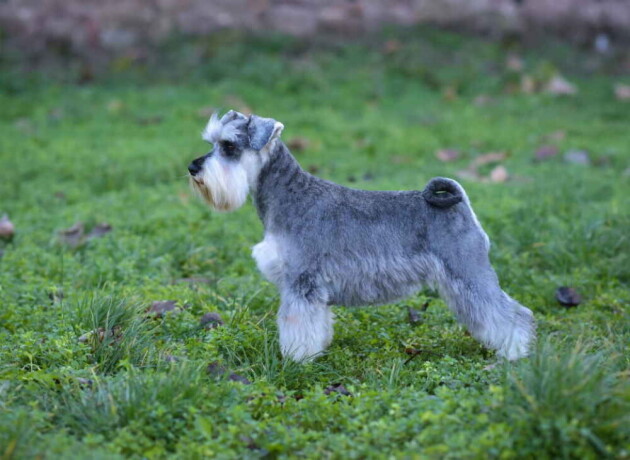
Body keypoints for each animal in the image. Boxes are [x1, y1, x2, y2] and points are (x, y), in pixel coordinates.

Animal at [189, 110, 540, 362]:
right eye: (210, 142)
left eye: (229, 146)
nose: (193, 168)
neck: (289, 194)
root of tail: (460, 202)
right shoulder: (312, 290)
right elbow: (316, 324)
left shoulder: (301, 282)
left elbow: (297, 325)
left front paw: (295, 361)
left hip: (469, 273)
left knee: (512, 314)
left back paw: (514, 353)